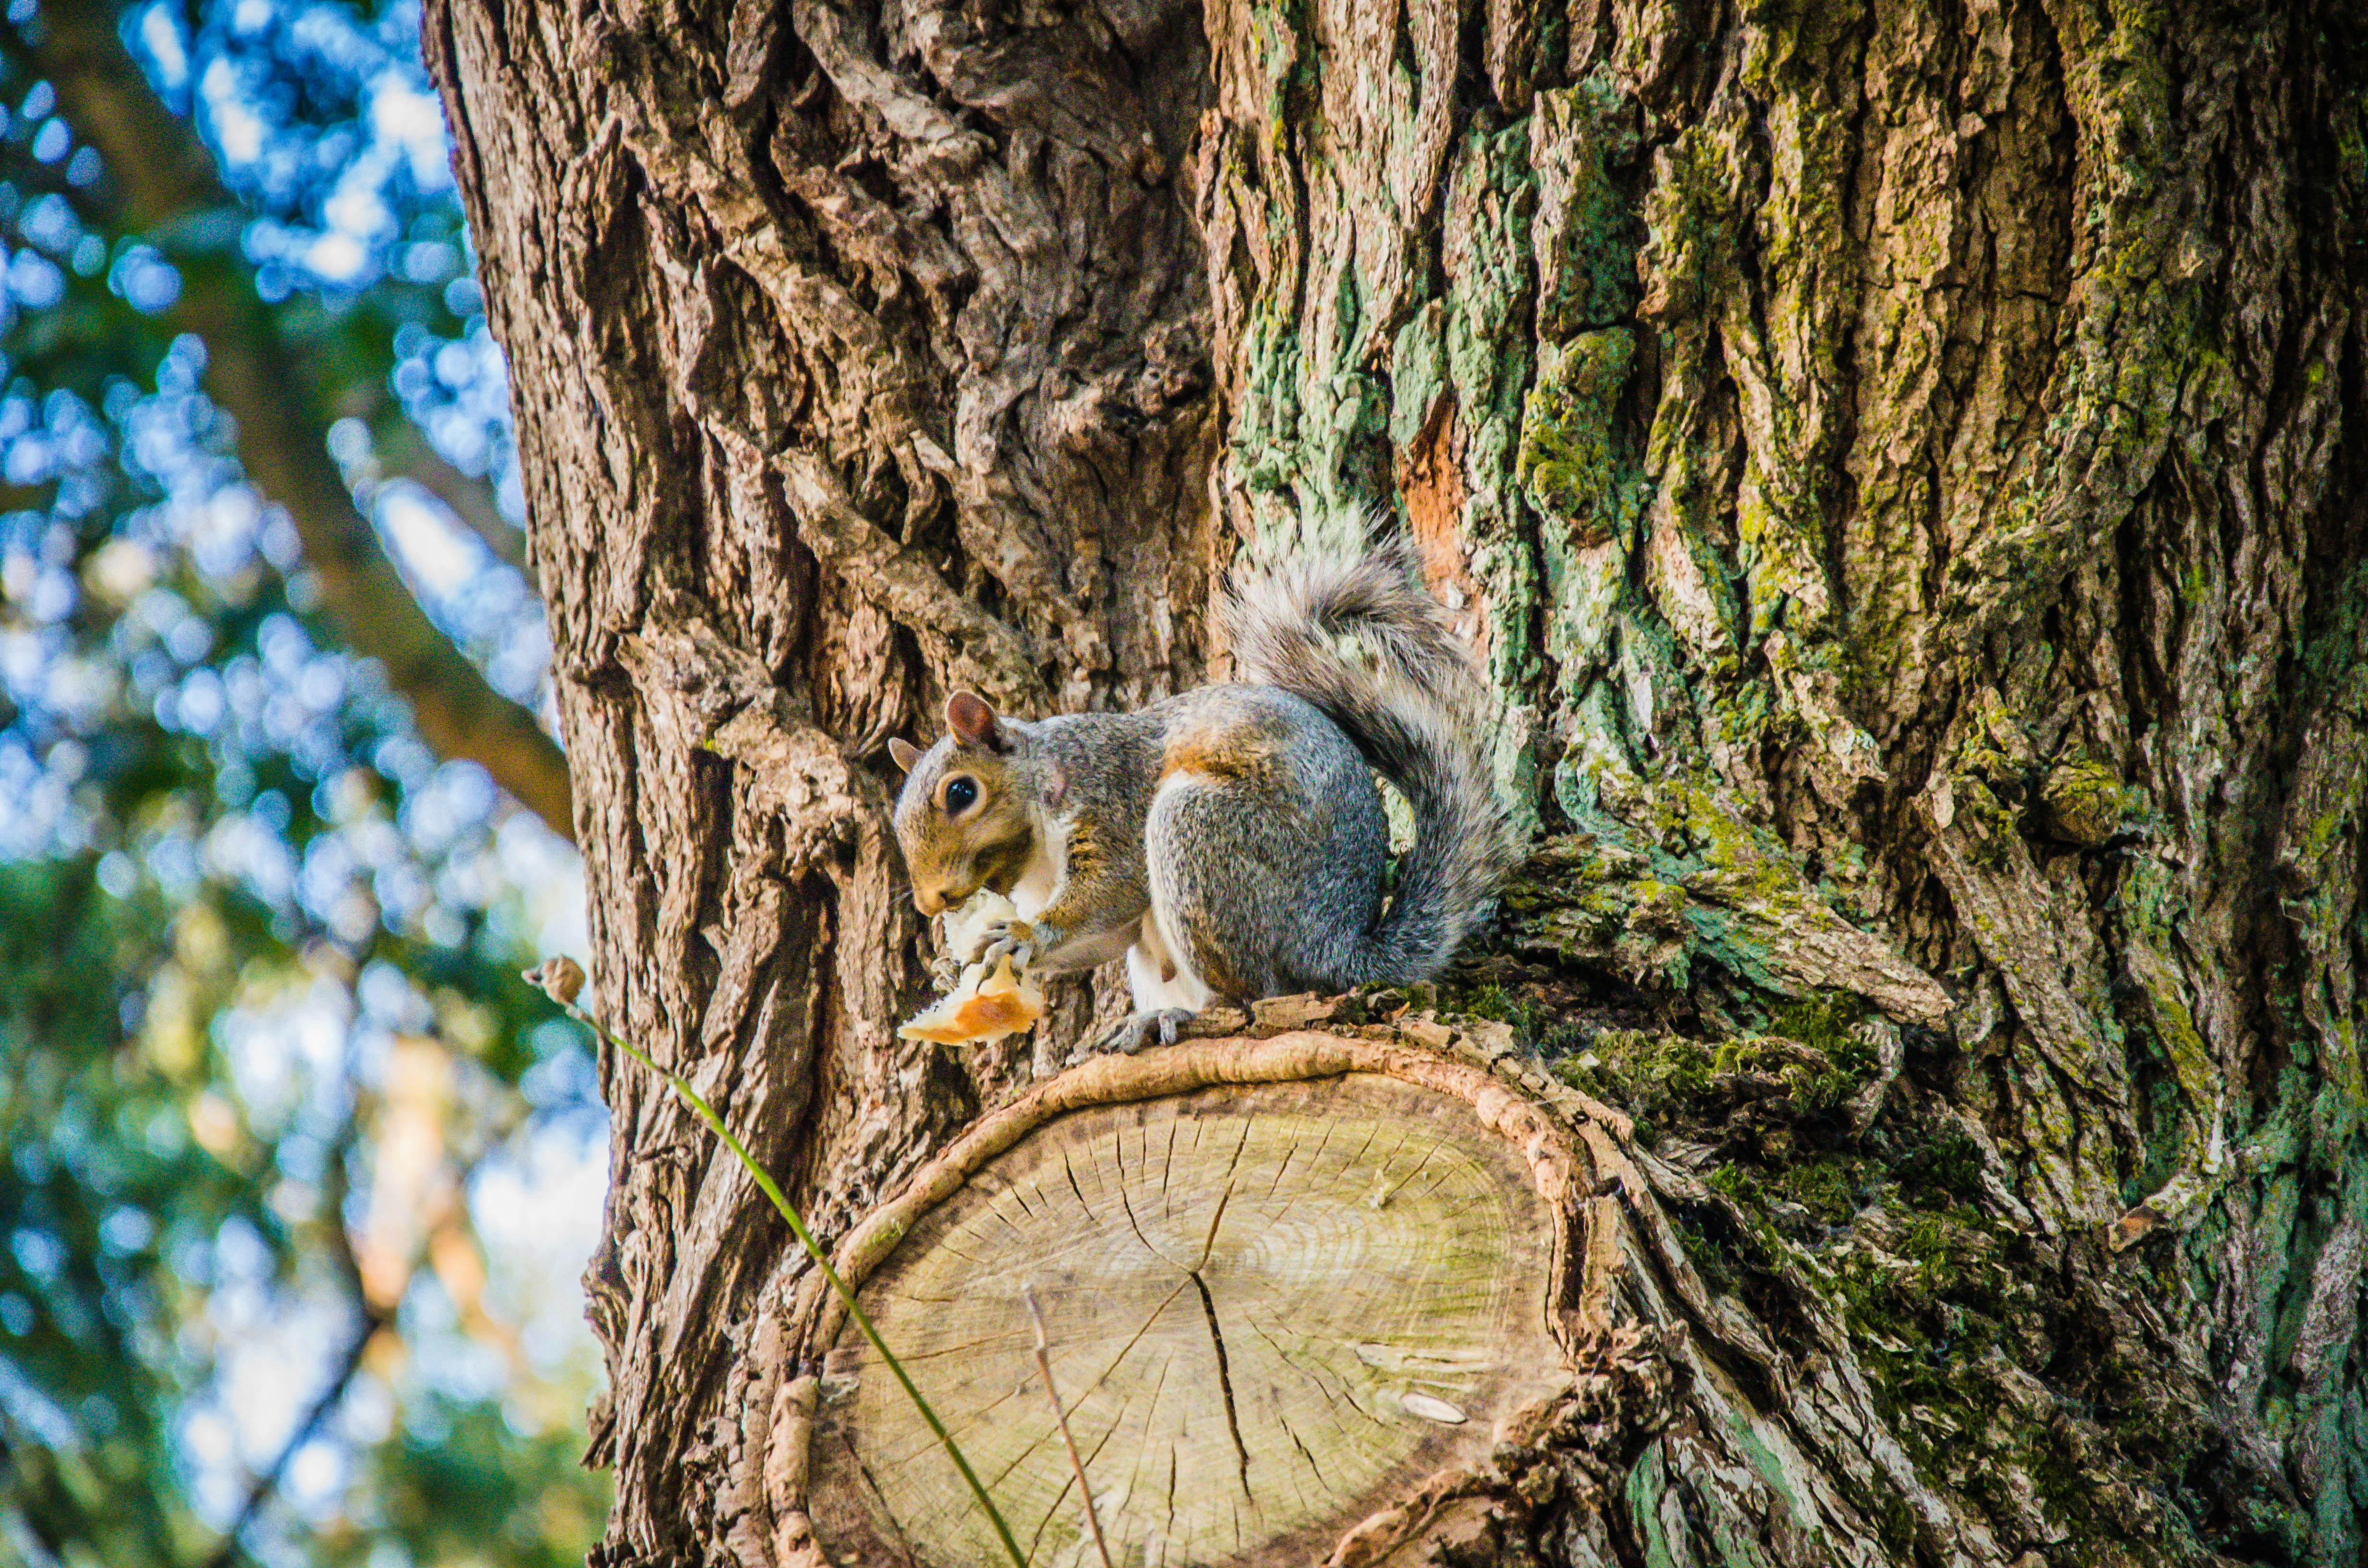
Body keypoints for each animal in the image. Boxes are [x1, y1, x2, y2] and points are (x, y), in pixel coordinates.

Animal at [886, 538, 1519, 1055]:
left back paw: (1178, 1016)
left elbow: (1111, 890)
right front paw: (949, 967)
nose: (930, 903)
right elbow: (1105, 935)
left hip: (1198, 832)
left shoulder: (1110, 800)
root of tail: (1337, 945)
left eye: (961, 792)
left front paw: (1021, 934)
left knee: (1254, 995)